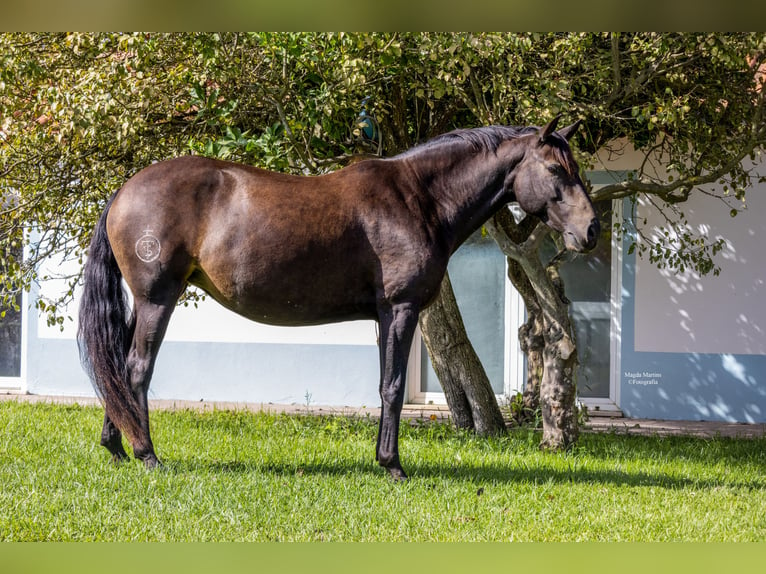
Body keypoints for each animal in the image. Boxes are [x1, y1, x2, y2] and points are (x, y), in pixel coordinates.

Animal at [78, 116, 600, 482]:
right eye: (555, 170)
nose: (591, 230)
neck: (419, 199)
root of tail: (123, 190)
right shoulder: (400, 310)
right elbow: (392, 387)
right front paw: (392, 464)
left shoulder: (384, 317)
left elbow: (386, 385)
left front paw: (383, 458)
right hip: (156, 299)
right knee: (136, 369)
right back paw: (146, 454)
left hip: (143, 303)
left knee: (119, 369)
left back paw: (117, 446)